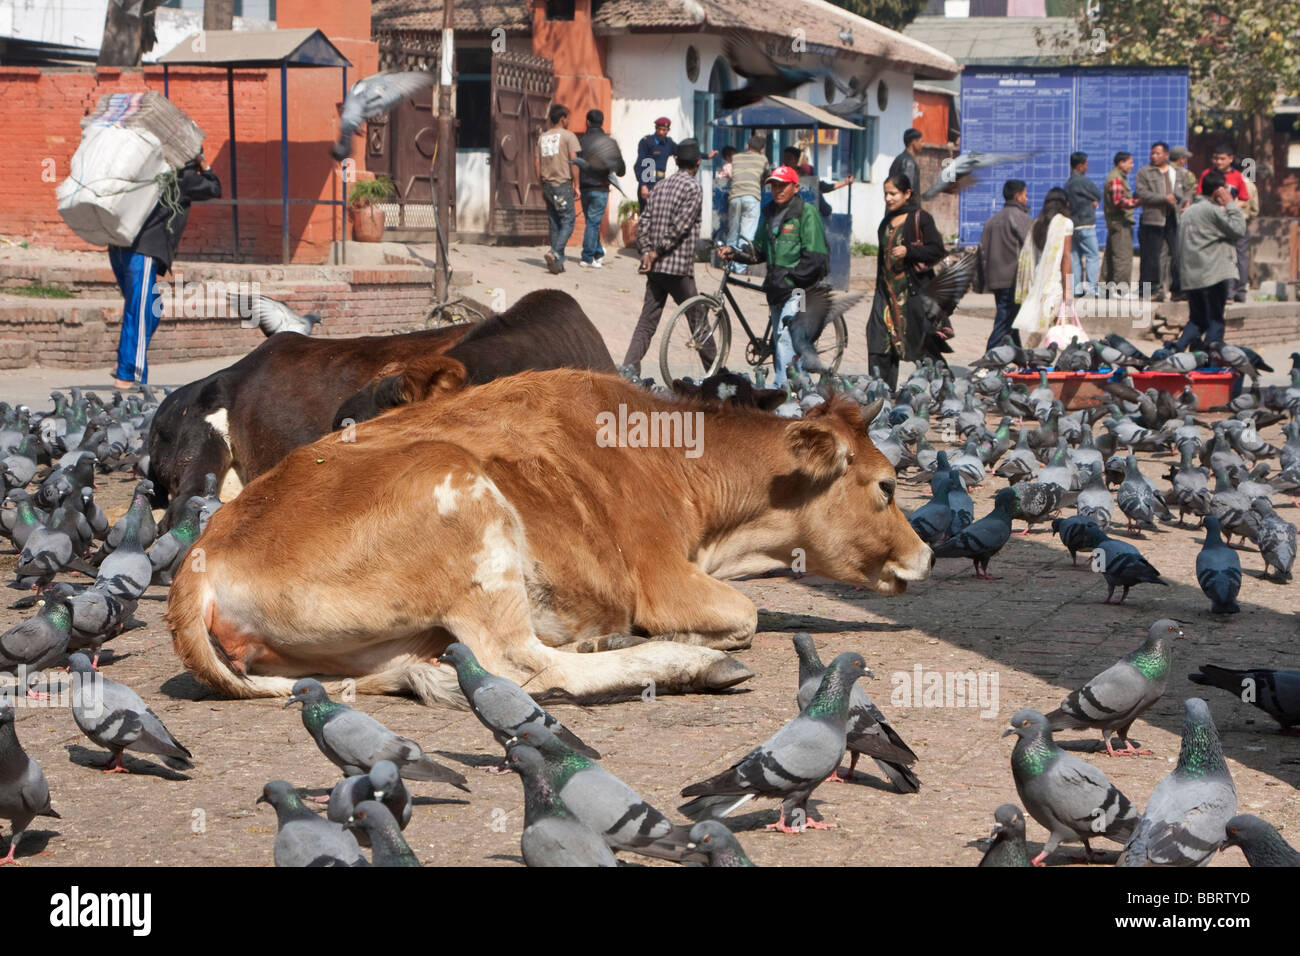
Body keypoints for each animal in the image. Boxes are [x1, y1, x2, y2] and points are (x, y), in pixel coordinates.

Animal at [167, 369, 930, 707]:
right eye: (887, 487)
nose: (924, 555)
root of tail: (203, 554)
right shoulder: (663, 577)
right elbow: (745, 615)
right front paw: (692, 641)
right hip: (464, 507)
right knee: (523, 666)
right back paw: (682, 662)